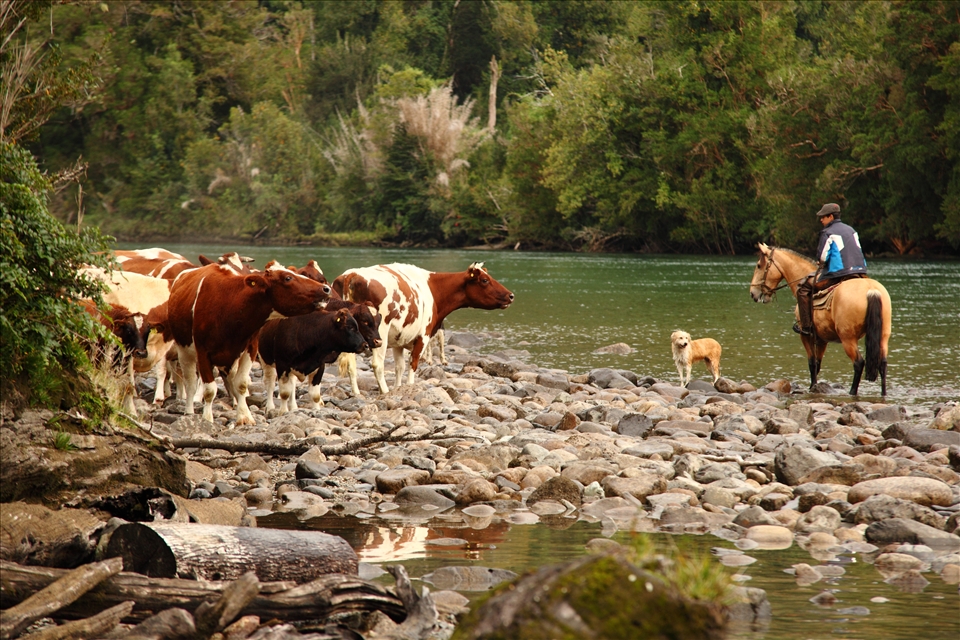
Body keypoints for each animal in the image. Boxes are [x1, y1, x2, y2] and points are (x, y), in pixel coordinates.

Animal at [749, 243, 892, 396]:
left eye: (759, 265)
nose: (752, 293)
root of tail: (871, 291)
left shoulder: (806, 336)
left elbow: (812, 363)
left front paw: (812, 387)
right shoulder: (822, 339)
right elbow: (817, 364)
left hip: (848, 339)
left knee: (858, 363)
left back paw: (852, 392)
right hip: (883, 336)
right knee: (882, 364)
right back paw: (883, 393)